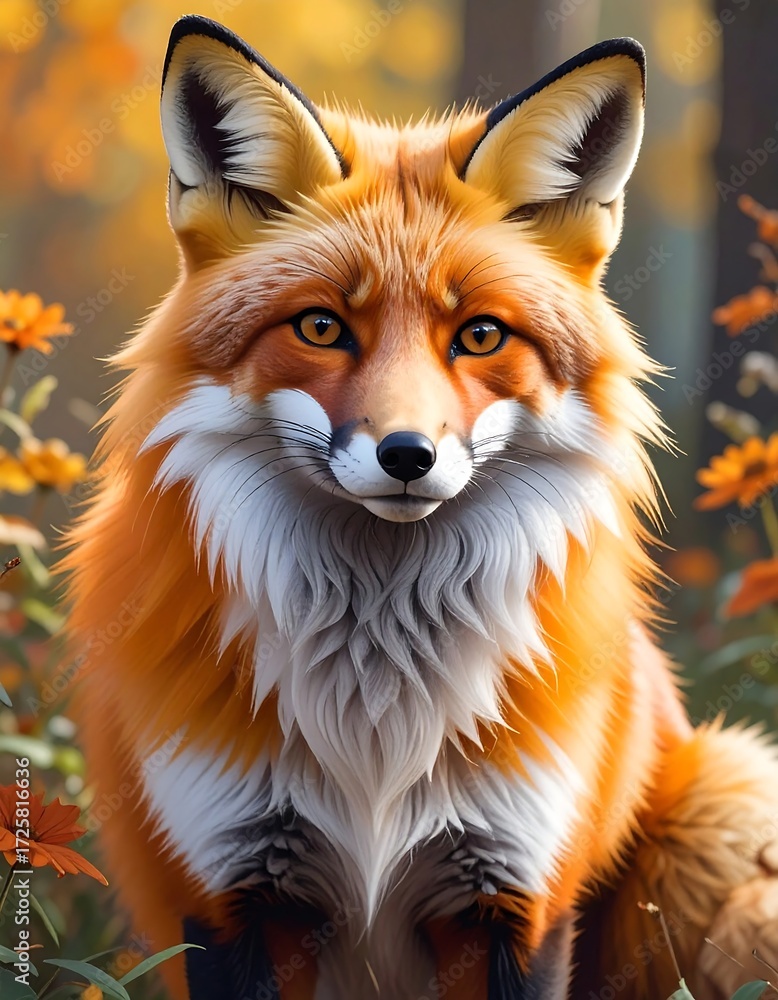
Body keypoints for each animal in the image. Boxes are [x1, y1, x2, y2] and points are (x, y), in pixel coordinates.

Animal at [63, 14, 778, 1000]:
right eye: (321, 326)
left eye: (479, 335)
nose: (407, 456)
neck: (379, 717)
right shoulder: (225, 897)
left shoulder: (515, 898)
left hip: (726, 812)